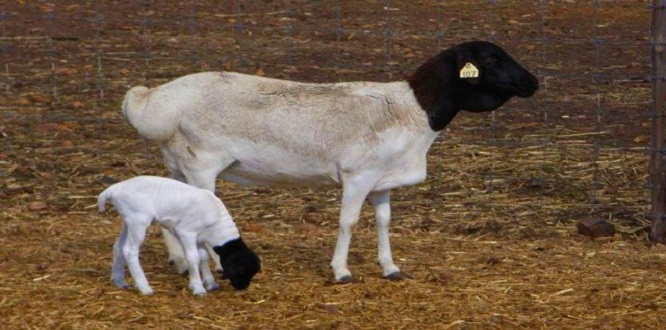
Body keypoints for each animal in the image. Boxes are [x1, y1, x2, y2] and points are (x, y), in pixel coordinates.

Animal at [97, 175, 260, 294]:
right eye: (242, 271)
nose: (242, 287)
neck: (217, 223)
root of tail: (113, 190)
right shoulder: (186, 232)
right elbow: (193, 258)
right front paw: (198, 288)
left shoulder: (198, 237)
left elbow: (203, 257)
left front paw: (210, 283)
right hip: (138, 220)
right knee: (129, 250)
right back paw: (144, 287)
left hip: (128, 221)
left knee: (118, 246)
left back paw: (119, 281)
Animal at [120, 40, 536, 284]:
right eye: (490, 58)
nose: (533, 83)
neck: (413, 110)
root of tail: (152, 101)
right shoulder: (357, 175)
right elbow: (348, 222)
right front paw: (342, 271)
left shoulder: (382, 180)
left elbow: (384, 222)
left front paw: (391, 268)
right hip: (201, 163)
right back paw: (216, 267)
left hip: (178, 161)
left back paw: (179, 262)